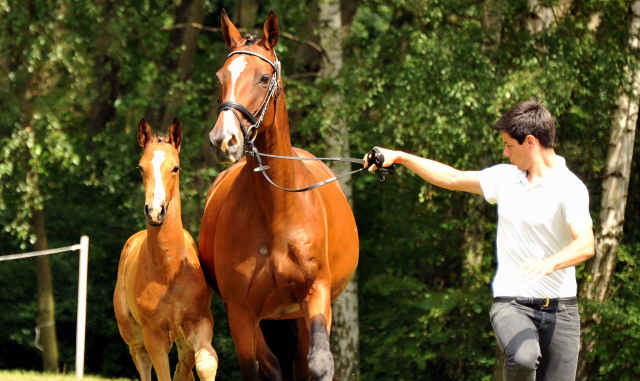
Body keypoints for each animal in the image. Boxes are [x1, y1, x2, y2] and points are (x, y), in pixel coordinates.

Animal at [116, 119, 221, 380]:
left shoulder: (200, 322)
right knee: (141, 360)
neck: (169, 270)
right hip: (132, 333)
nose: (155, 212)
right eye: (140, 168)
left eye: (175, 167)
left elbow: (205, 363)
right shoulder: (154, 335)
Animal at [199, 8, 358, 380]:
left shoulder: (315, 295)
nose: (223, 140)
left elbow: (319, 363)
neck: (277, 212)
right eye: (220, 77)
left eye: (263, 78)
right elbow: (257, 367)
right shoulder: (241, 312)